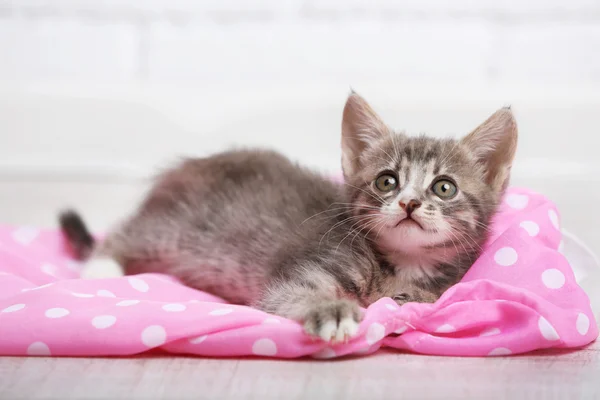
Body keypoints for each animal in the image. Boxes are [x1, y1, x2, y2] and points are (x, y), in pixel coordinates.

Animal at [58, 92, 516, 342]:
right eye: (387, 181)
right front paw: (331, 312)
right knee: (126, 233)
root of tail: (187, 169)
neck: (400, 264)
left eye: (444, 187)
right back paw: (98, 268)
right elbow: (296, 295)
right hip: (176, 228)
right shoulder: (301, 274)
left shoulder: (440, 288)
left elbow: (421, 301)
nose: (409, 204)